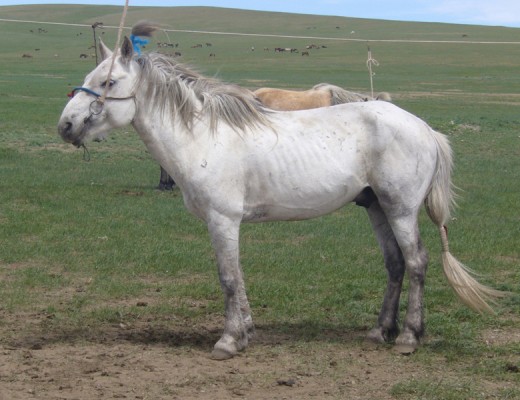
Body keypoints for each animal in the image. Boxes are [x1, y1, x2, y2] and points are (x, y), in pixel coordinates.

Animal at [58, 22, 504, 360]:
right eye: (87, 79)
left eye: (108, 81)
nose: (65, 125)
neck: (202, 136)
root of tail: (424, 128)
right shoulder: (227, 224)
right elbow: (237, 275)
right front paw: (246, 332)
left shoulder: (223, 220)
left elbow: (228, 277)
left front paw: (228, 341)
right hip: (376, 207)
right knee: (395, 264)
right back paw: (381, 332)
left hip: (400, 209)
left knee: (416, 263)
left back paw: (409, 337)